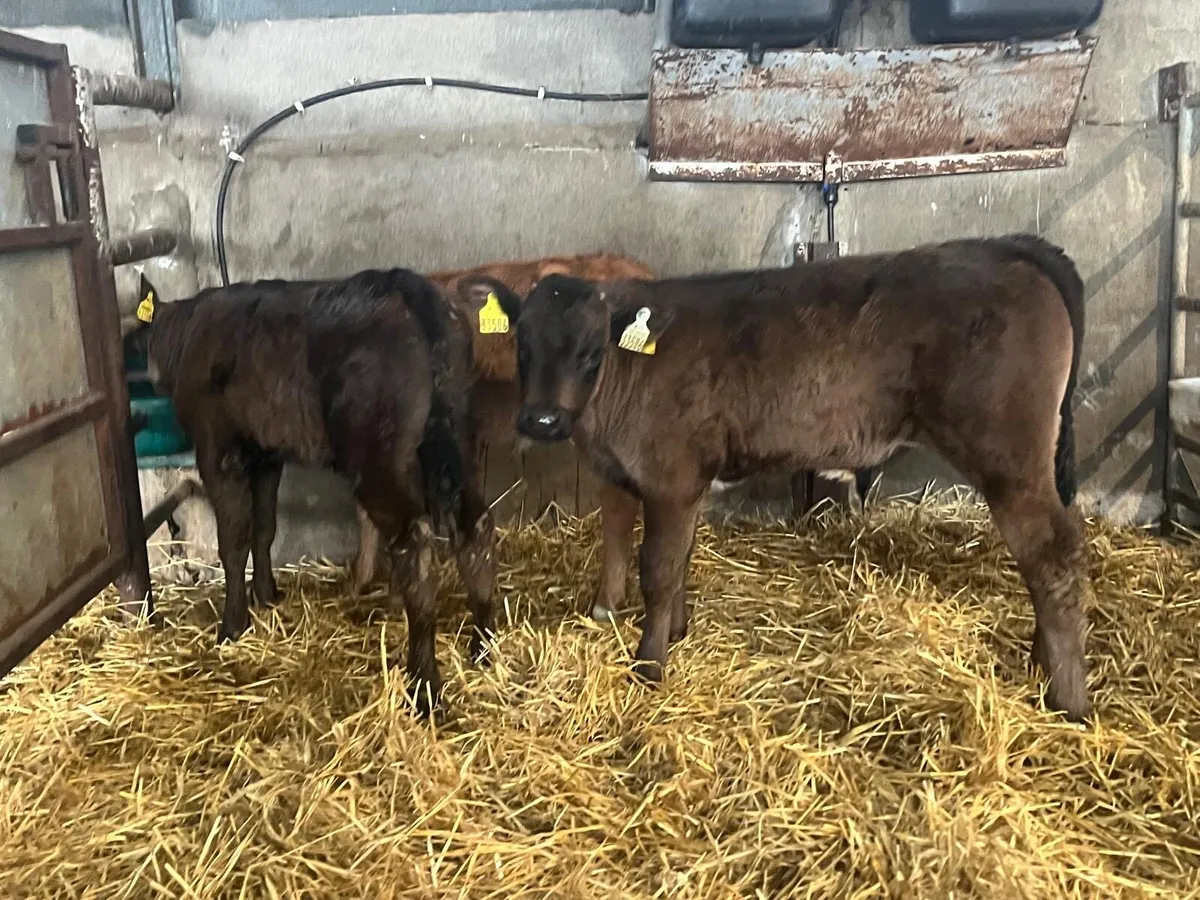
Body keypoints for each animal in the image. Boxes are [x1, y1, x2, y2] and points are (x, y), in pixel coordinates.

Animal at [129, 268, 486, 717]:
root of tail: (411, 289)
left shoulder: (219, 450)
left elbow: (234, 539)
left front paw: (232, 625)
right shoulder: (266, 455)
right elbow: (264, 527)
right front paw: (266, 595)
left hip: (382, 459)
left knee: (415, 545)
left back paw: (425, 687)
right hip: (460, 440)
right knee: (476, 527)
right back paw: (484, 644)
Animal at [496, 233, 1093, 721]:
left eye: (588, 349)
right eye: (520, 344)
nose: (541, 420)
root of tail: (1005, 246)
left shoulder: (671, 478)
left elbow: (659, 570)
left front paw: (649, 664)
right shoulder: (681, 487)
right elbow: (681, 559)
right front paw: (676, 633)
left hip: (1008, 458)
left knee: (1053, 554)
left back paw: (1068, 699)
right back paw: (1042, 663)